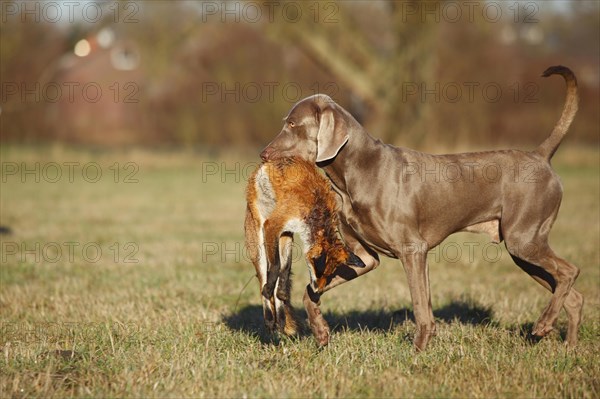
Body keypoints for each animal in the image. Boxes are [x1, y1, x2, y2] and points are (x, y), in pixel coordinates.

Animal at [258, 67, 580, 352]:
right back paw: (569, 348)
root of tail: (540, 156)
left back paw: (544, 325)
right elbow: (310, 291)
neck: (354, 174)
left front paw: (419, 349)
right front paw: (321, 332)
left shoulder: (413, 249)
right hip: (524, 251)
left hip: (523, 240)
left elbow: (419, 305)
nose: (263, 153)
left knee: (570, 271)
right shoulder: (365, 257)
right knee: (573, 296)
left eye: (293, 125)